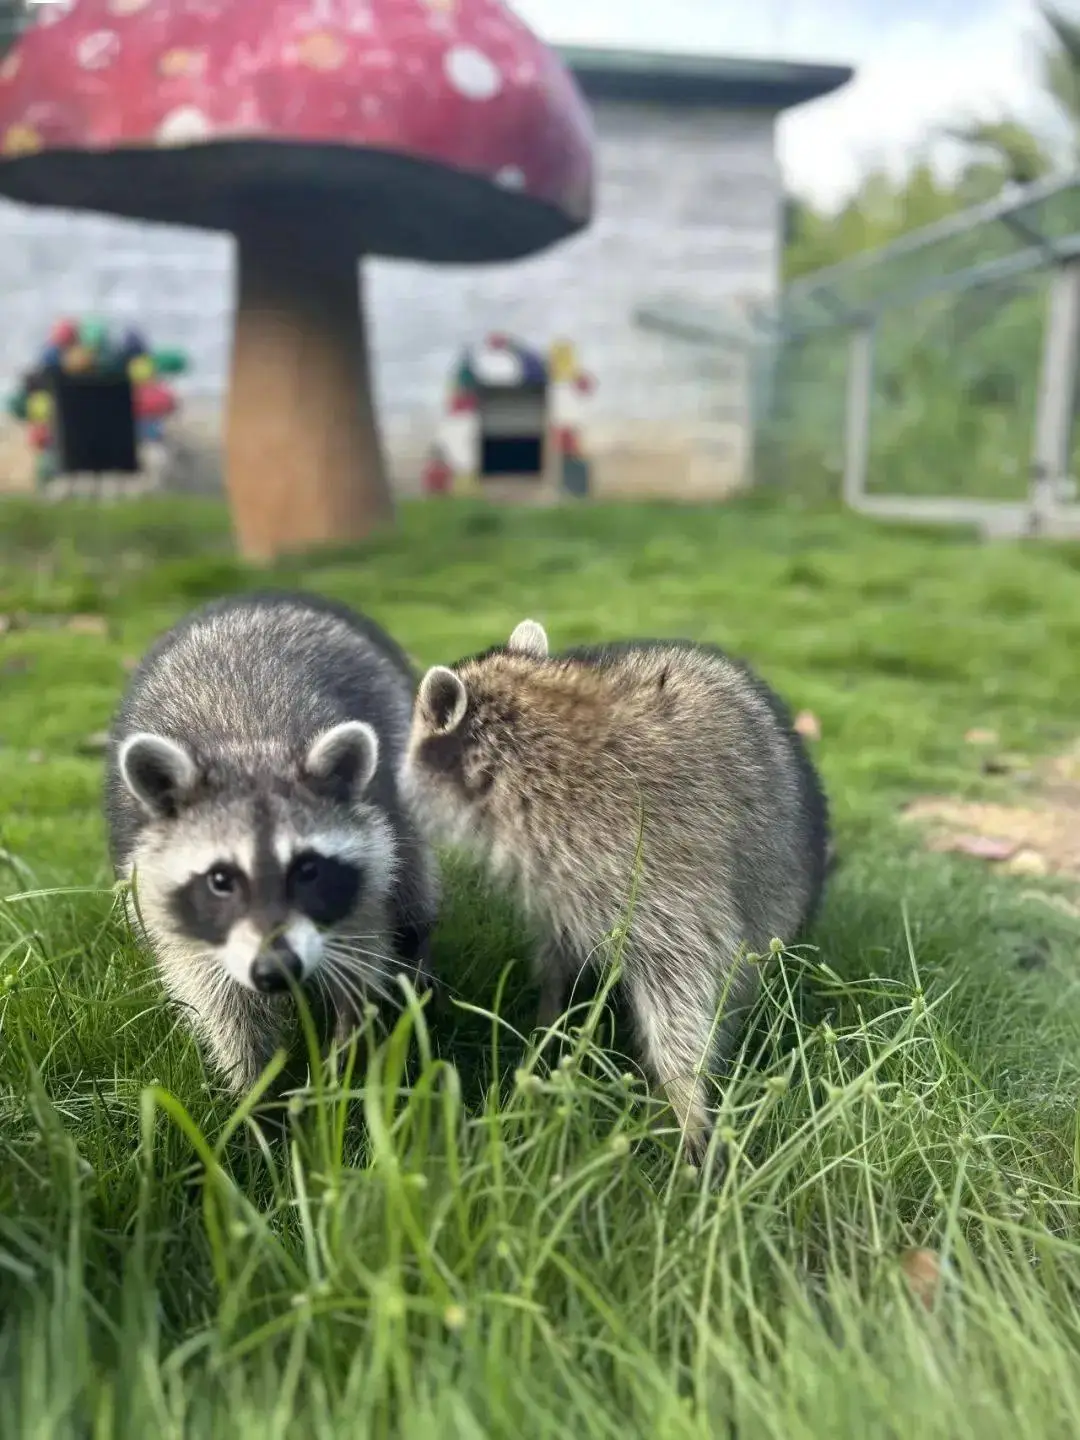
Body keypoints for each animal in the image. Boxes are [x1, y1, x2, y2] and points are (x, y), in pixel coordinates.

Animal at [102, 590, 440, 1094]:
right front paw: (255, 1088)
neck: (250, 744)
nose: (276, 969)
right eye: (220, 879)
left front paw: (347, 1046)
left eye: (308, 869)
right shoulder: (170, 906)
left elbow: (362, 951)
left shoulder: (368, 867)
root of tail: (261, 598)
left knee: (414, 892)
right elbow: (220, 1000)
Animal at [403, 619, 835, 1157]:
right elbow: (558, 946)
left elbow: (683, 981)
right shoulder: (560, 873)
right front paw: (550, 1020)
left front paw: (687, 1099)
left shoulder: (642, 859)